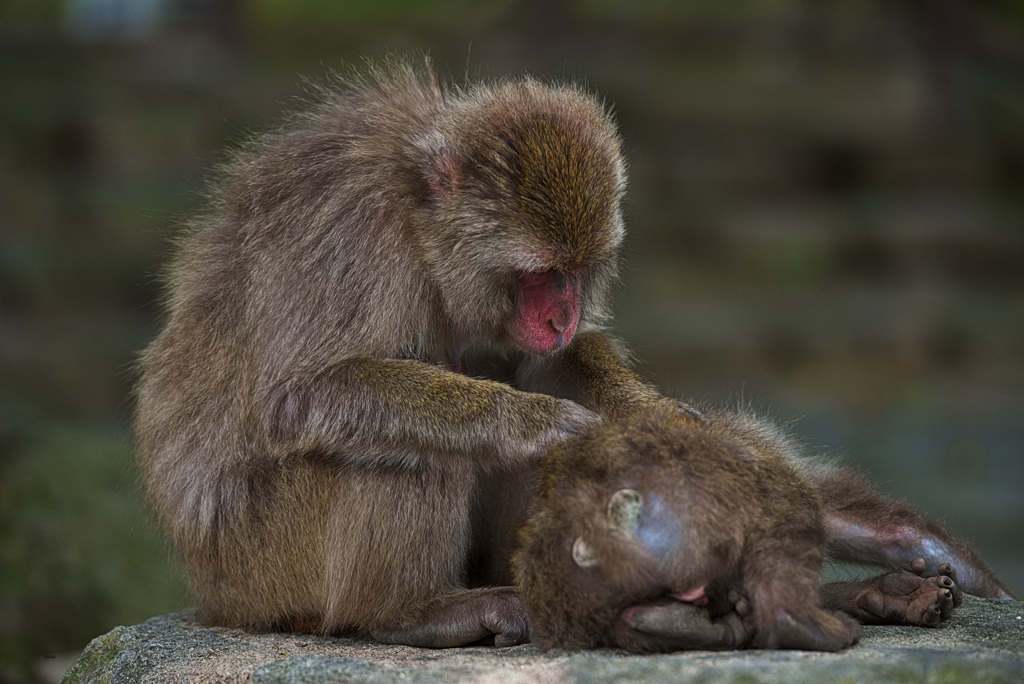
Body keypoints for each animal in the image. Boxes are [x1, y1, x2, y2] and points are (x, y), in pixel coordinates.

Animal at [516, 405, 962, 651]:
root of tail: (581, 513)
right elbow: (897, 532)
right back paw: (796, 624)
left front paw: (899, 595)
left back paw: (692, 628)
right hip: (699, 496)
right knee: (790, 511)